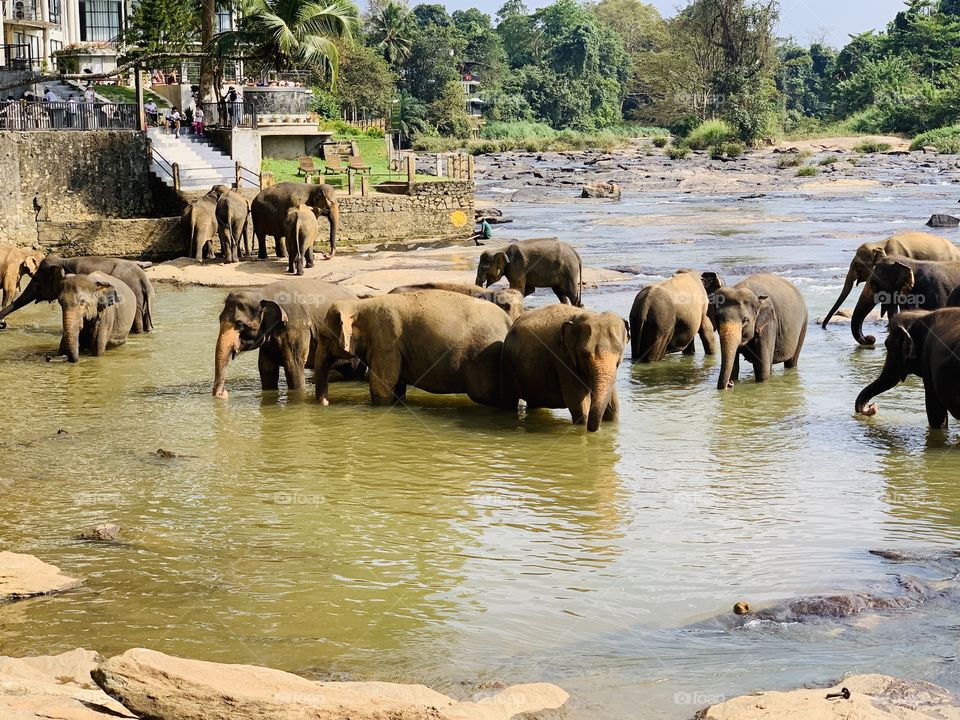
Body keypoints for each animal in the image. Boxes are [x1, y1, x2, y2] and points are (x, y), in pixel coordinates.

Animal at [212, 278, 357, 399]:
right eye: (219, 319)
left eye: (240, 325)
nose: (224, 393)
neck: (263, 292)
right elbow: (266, 368)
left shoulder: (296, 328)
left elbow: (293, 365)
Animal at [314, 290, 511, 406]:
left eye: (323, 336)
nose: (326, 403)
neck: (360, 304)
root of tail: (508, 321)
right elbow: (398, 386)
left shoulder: (387, 341)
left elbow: (381, 386)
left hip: (483, 360)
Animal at [500, 304, 629, 432]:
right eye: (584, 355)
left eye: (619, 353)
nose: (596, 430)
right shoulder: (564, 360)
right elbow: (579, 407)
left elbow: (614, 407)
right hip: (507, 365)